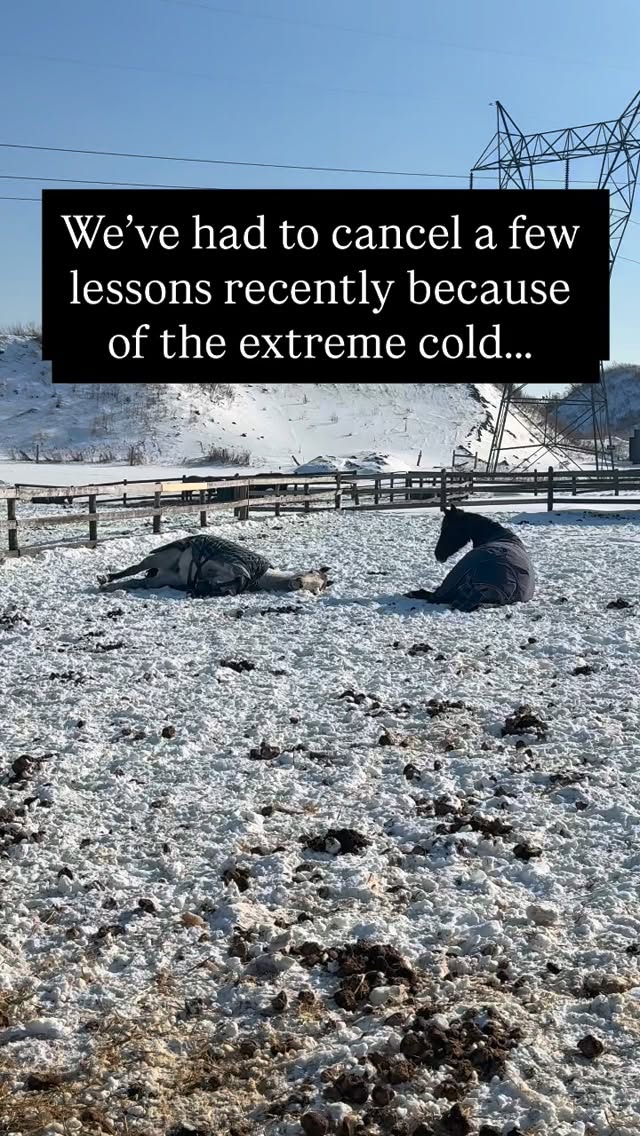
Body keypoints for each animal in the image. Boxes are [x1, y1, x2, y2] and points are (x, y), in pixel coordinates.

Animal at [96, 534, 331, 597]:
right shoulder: (228, 560)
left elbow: (225, 584)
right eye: (311, 571)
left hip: (162, 579)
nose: (298, 583)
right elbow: (238, 571)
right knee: (133, 569)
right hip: (161, 557)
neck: (261, 574)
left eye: (317, 589)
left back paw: (110, 587)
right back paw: (105, 578)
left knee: (136, 582)